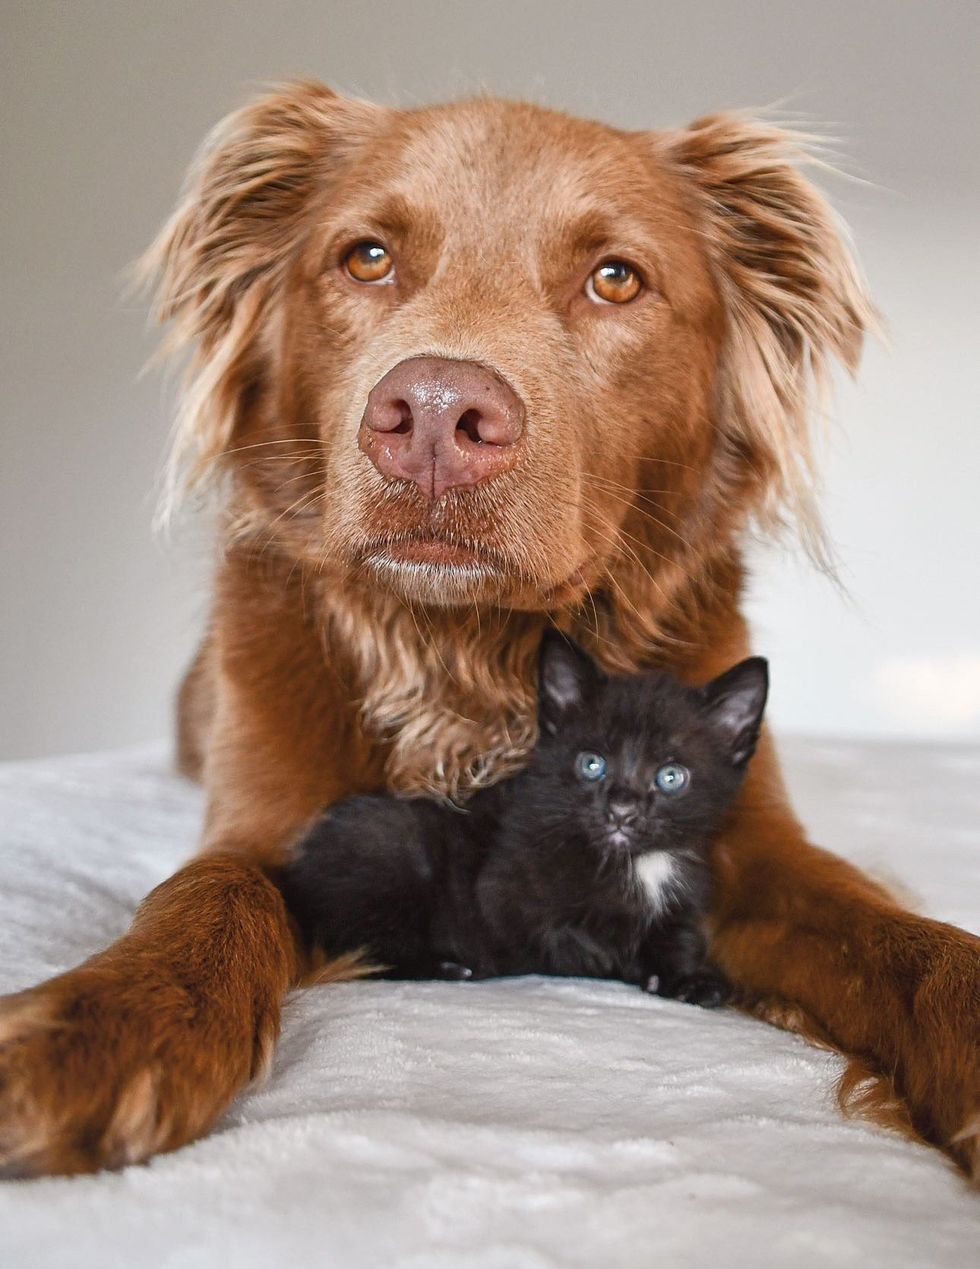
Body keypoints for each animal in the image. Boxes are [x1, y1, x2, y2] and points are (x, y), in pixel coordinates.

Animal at [275, 639, 766, 1005]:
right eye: (592, 764)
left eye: (670, 777)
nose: (622, 810)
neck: (635, 863)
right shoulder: (501, 889)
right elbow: (569, 935)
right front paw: (626, 960)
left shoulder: (683, 895)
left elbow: (678, 936)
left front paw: (688, 977)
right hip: (389, 843)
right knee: (364, 948)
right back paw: (443, 967)